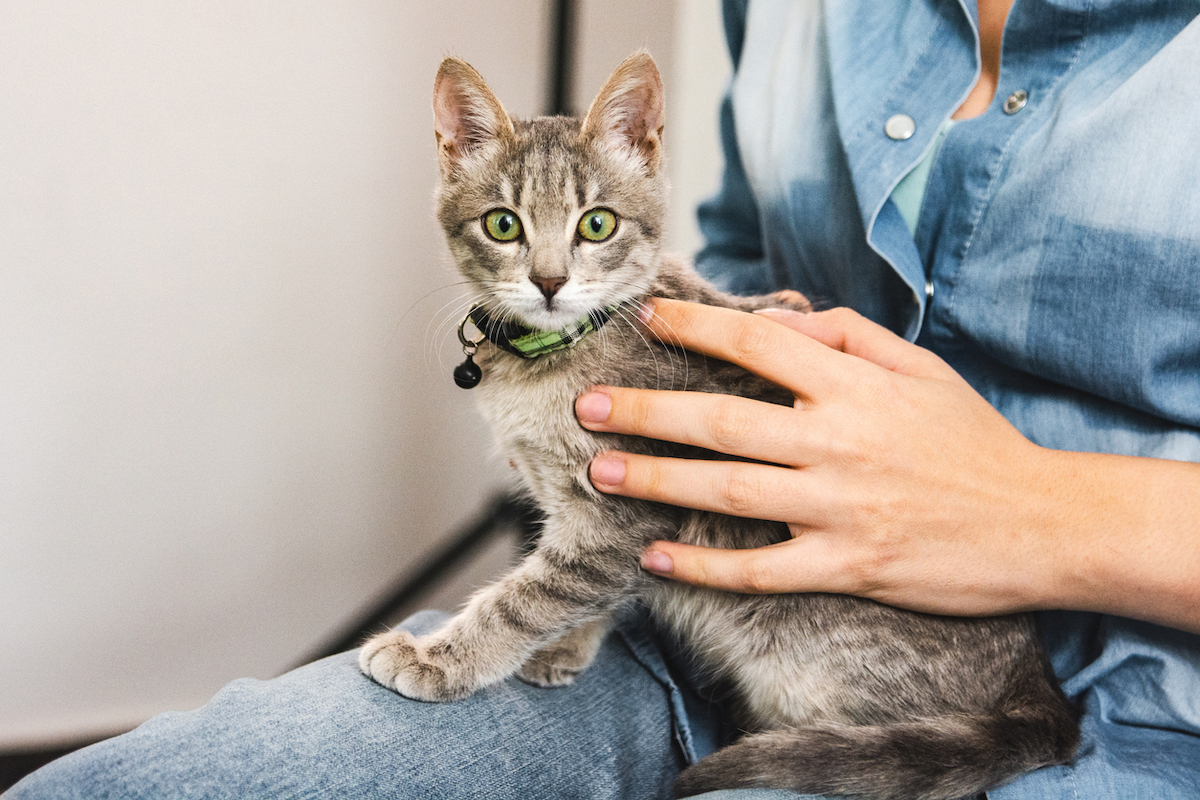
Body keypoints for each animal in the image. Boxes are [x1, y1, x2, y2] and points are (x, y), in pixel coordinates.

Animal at [360, 53, 1084, 796]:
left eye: (597, 225)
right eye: (503, 225)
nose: (550, 282)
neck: (553, 359)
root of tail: (1036, 683)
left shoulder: (626, 508)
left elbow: (532, 594)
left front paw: (439, 658)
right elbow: (587, 589)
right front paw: (568, 643)